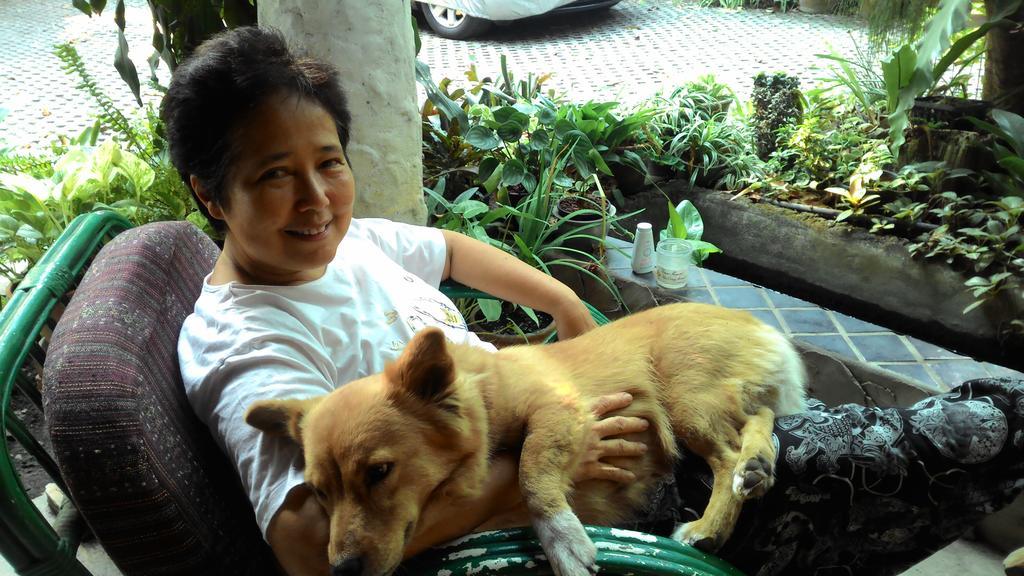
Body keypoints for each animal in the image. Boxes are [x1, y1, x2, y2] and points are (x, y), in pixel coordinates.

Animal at [245, 301, 806, 573]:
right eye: (319, 493)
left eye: (380, 472)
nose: (340, 570)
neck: (484, 397)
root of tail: (754, 321)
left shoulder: (555, 411)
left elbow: (531, 471)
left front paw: (563, 540)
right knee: (760, 424)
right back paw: (758, 467)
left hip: (685, 401)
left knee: (732, 451)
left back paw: (711, 521)